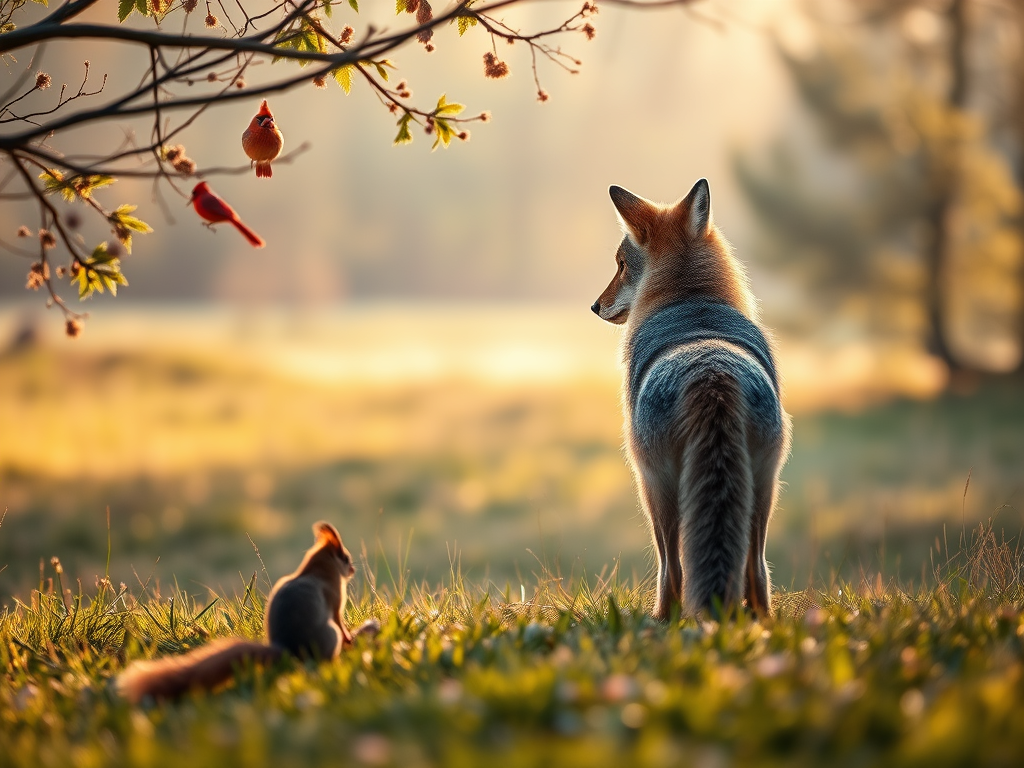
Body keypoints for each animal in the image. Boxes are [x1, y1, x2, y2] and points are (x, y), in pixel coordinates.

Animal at [118, 521, 379, 703]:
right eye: (345, 558)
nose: (352, 569)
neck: (317, 571)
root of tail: (287, 651)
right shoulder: (335, 601)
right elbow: (340, 621)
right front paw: (351, 638)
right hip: (328, 635)